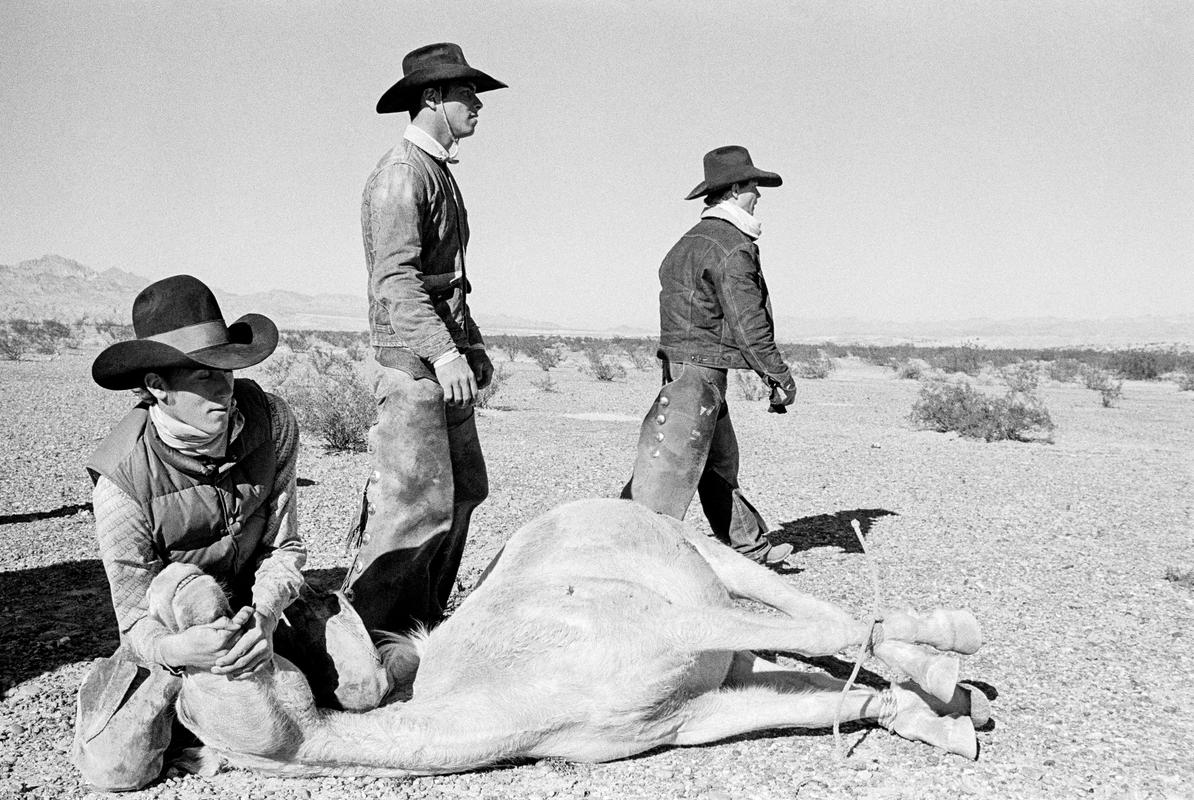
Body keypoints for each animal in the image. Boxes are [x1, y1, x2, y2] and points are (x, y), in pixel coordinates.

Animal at [149, 499, 988, 778]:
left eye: (229, 649)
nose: (183, 591)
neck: (528, 699)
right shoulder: (693, 715)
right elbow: (821, 706)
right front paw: (940, 725)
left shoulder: (667, 629)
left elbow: (832, 629)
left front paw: (952, 660)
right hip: (728, 652)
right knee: (798, 659)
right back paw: (952, 703)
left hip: (714, 567)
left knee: (812, 614)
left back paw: (949, 658)